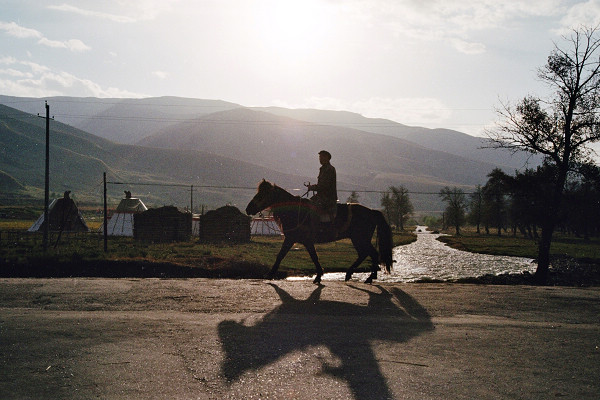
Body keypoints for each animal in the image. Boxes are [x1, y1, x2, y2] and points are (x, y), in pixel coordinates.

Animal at [245, 180, 394, 282]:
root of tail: (372, 211)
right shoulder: (302, 241)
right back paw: (350, 274)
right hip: (357, 239)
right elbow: (311, 256)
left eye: (263, 194)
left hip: (360, 238)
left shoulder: (293, 239)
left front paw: (270, 274)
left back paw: (369, 277)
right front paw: (318, 275)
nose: (248, 208)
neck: (295, 211)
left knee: (372, 253)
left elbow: (283, 255)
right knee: (364, 254)